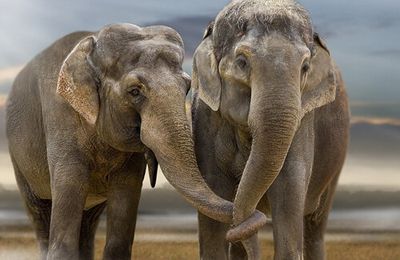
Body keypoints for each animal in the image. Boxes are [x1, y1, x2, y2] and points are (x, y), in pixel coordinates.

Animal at [5, 23, 266, 258]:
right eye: (134, 91)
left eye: (187, 86)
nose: (257, 218)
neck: (92, 45)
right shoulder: (61, 117)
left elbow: (125, 200)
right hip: (20, 160)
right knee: (39, 212)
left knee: (88, 223)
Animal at [191, 1, 350, 258]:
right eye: (242, 62)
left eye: (305, 67)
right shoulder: (205, 118)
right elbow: (213, 200)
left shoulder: (303, 121)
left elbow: (288, 191)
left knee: (316, 225)